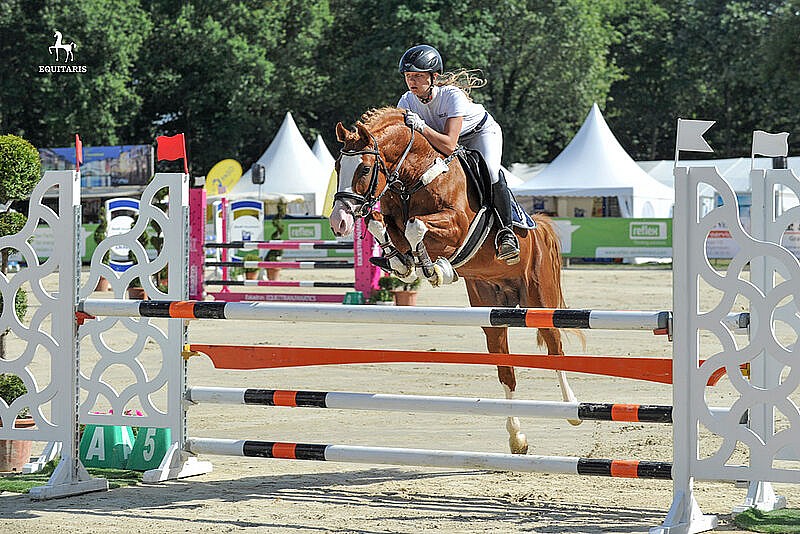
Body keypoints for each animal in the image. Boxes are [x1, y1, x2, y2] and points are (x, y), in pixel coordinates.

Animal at [328, 105, 580, 456]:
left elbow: (416, 226)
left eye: (364, 169)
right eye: (339, 166)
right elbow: (384, 226)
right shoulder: (392, 216)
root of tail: (539, 224)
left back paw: (571, 410)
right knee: (506, 370)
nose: (338, 222)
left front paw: (436, 269)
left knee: (554, 346)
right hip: (491, 312)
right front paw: (403, 263)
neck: (413, 177)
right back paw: (517, 438)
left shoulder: (457, 224)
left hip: (539, 301)